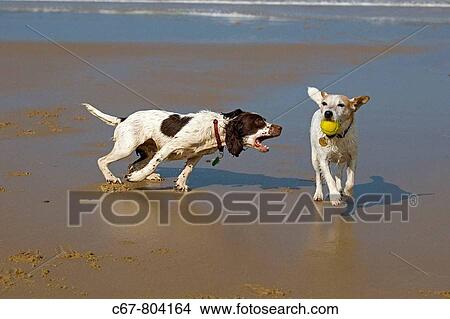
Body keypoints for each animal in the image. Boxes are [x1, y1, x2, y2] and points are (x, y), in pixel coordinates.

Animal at [81, 104, 282, 191]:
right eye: (259, 122)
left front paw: (180, 184)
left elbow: (187, 170)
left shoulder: (195, 155)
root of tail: (123, 119)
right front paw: (137, 178)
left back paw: (146, 176)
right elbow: (154, 165)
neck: (216, 128)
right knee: (102, 160)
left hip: (148, 150)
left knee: (134, 164)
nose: (281, 128)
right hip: (127, 147)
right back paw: (113, 178)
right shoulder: (170, 147)